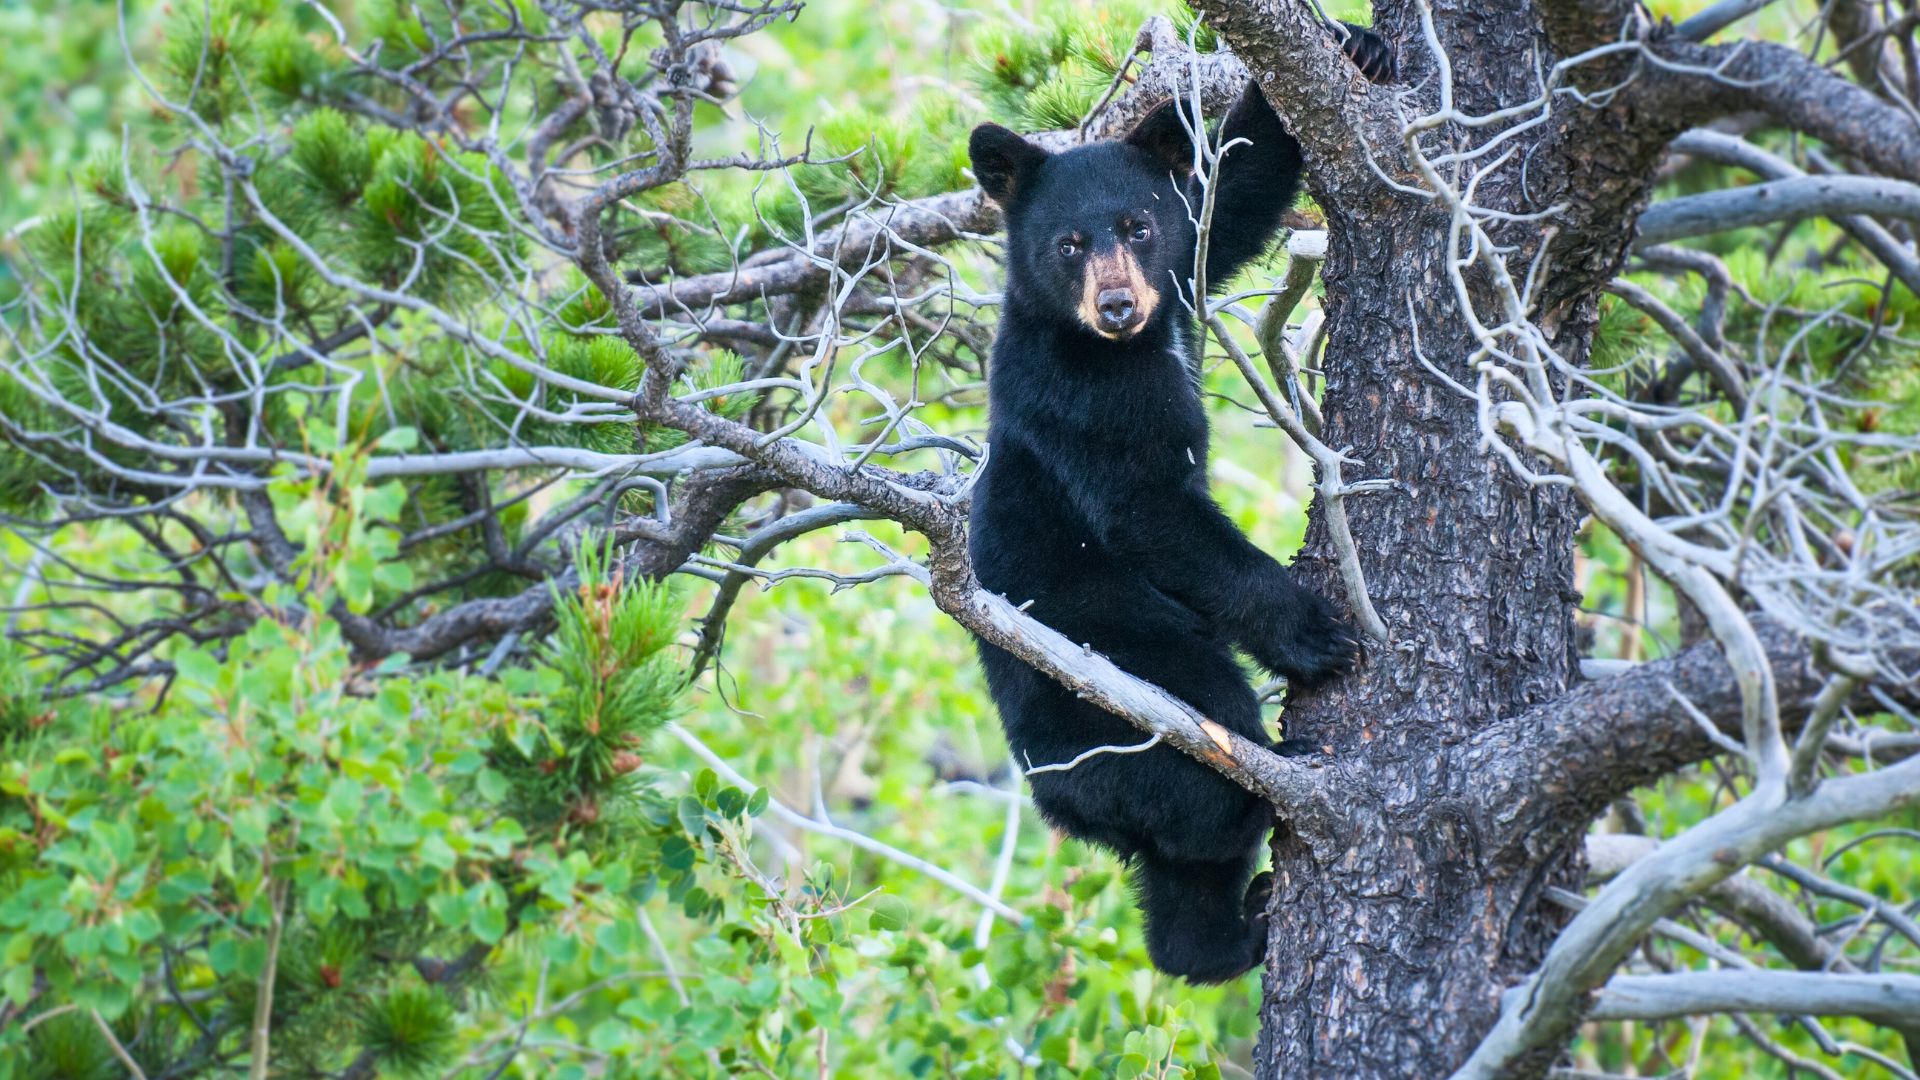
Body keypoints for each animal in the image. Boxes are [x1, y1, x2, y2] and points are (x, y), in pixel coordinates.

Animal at [965, 26, 1395, 984]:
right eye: (1068, 243)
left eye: (1137, 225)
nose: (1120, 303)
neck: (1116, 349)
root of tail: (1065, 805)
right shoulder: (1082, 397)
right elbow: (1148, 509)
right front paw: (1313, 630)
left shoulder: (1180, 287)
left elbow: (1228, 201)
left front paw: (1351, 49)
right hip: (1118, 663)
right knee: (1199, 753)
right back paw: (1268, 774)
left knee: (1180, 881)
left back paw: (1230, 934)